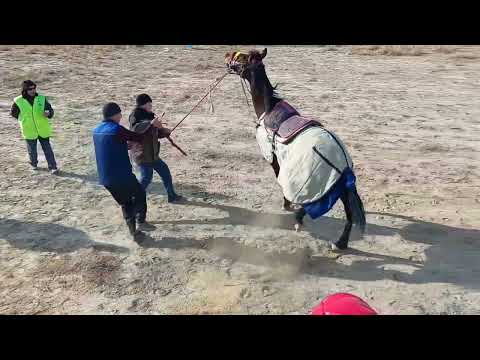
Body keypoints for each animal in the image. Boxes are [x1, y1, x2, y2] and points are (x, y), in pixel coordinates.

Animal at [225, 48, 368, 250]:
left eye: (242, 57)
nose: (228, 57)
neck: (268, 109)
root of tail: (343, 162)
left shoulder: (274, 158)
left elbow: (279, 179)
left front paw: (286, 204)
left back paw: (299, 220)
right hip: (340, 186)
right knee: (349, 213)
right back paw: (340, 243)